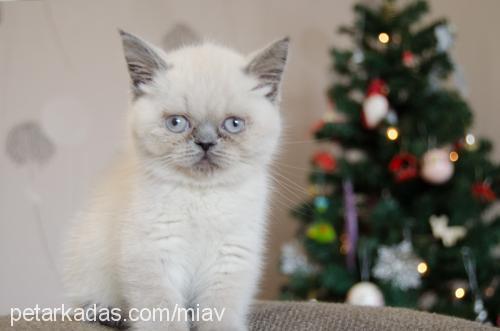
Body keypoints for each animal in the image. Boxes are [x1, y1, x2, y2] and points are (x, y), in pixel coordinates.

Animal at [62, 31, 290, 331]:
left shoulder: (229, 258)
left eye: (233, 124)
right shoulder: (155, 254)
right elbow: (164, 313)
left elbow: (220, 313)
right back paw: (108, 313)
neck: (202, 195)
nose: (205, 143)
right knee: (83, 305)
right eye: (177, 123)